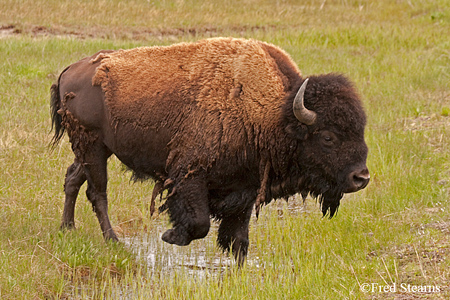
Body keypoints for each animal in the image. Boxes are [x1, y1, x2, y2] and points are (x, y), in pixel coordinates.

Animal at [51, 37, 370, 264]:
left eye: (360, 131)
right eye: (328, 137)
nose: (361, 178)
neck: (272, 113)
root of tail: (69, 70)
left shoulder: (244, 189)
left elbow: (238, 239)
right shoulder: (190, 176)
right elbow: (199, 224)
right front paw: (170, 236)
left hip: (94, 150)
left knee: (73, 178)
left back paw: (68, 228)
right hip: (92, 146)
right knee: (97, 192)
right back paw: (113, 241)